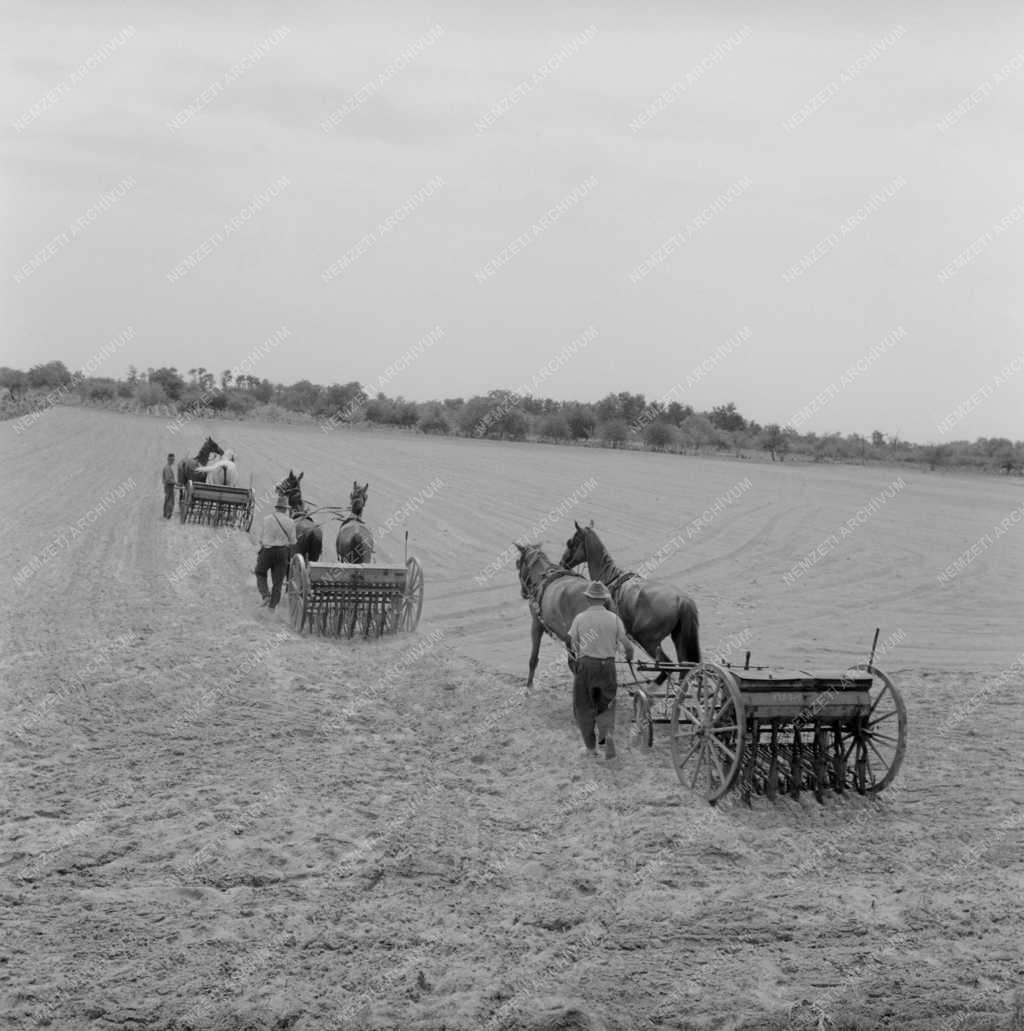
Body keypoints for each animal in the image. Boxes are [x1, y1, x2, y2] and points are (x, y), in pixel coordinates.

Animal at [511, 540, 589, 692]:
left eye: (518, 563)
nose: (523, 593)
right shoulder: (567, 638)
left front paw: (529, 686)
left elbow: (533, 658)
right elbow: (572, 663)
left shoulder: (536, 624)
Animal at [556, 519, 701, 680]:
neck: (609, 577)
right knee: (685, 668)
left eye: (571, 542)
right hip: (678, 638)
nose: (562, 562)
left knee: (667, 667)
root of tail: (681, 599)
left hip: (648, 641)